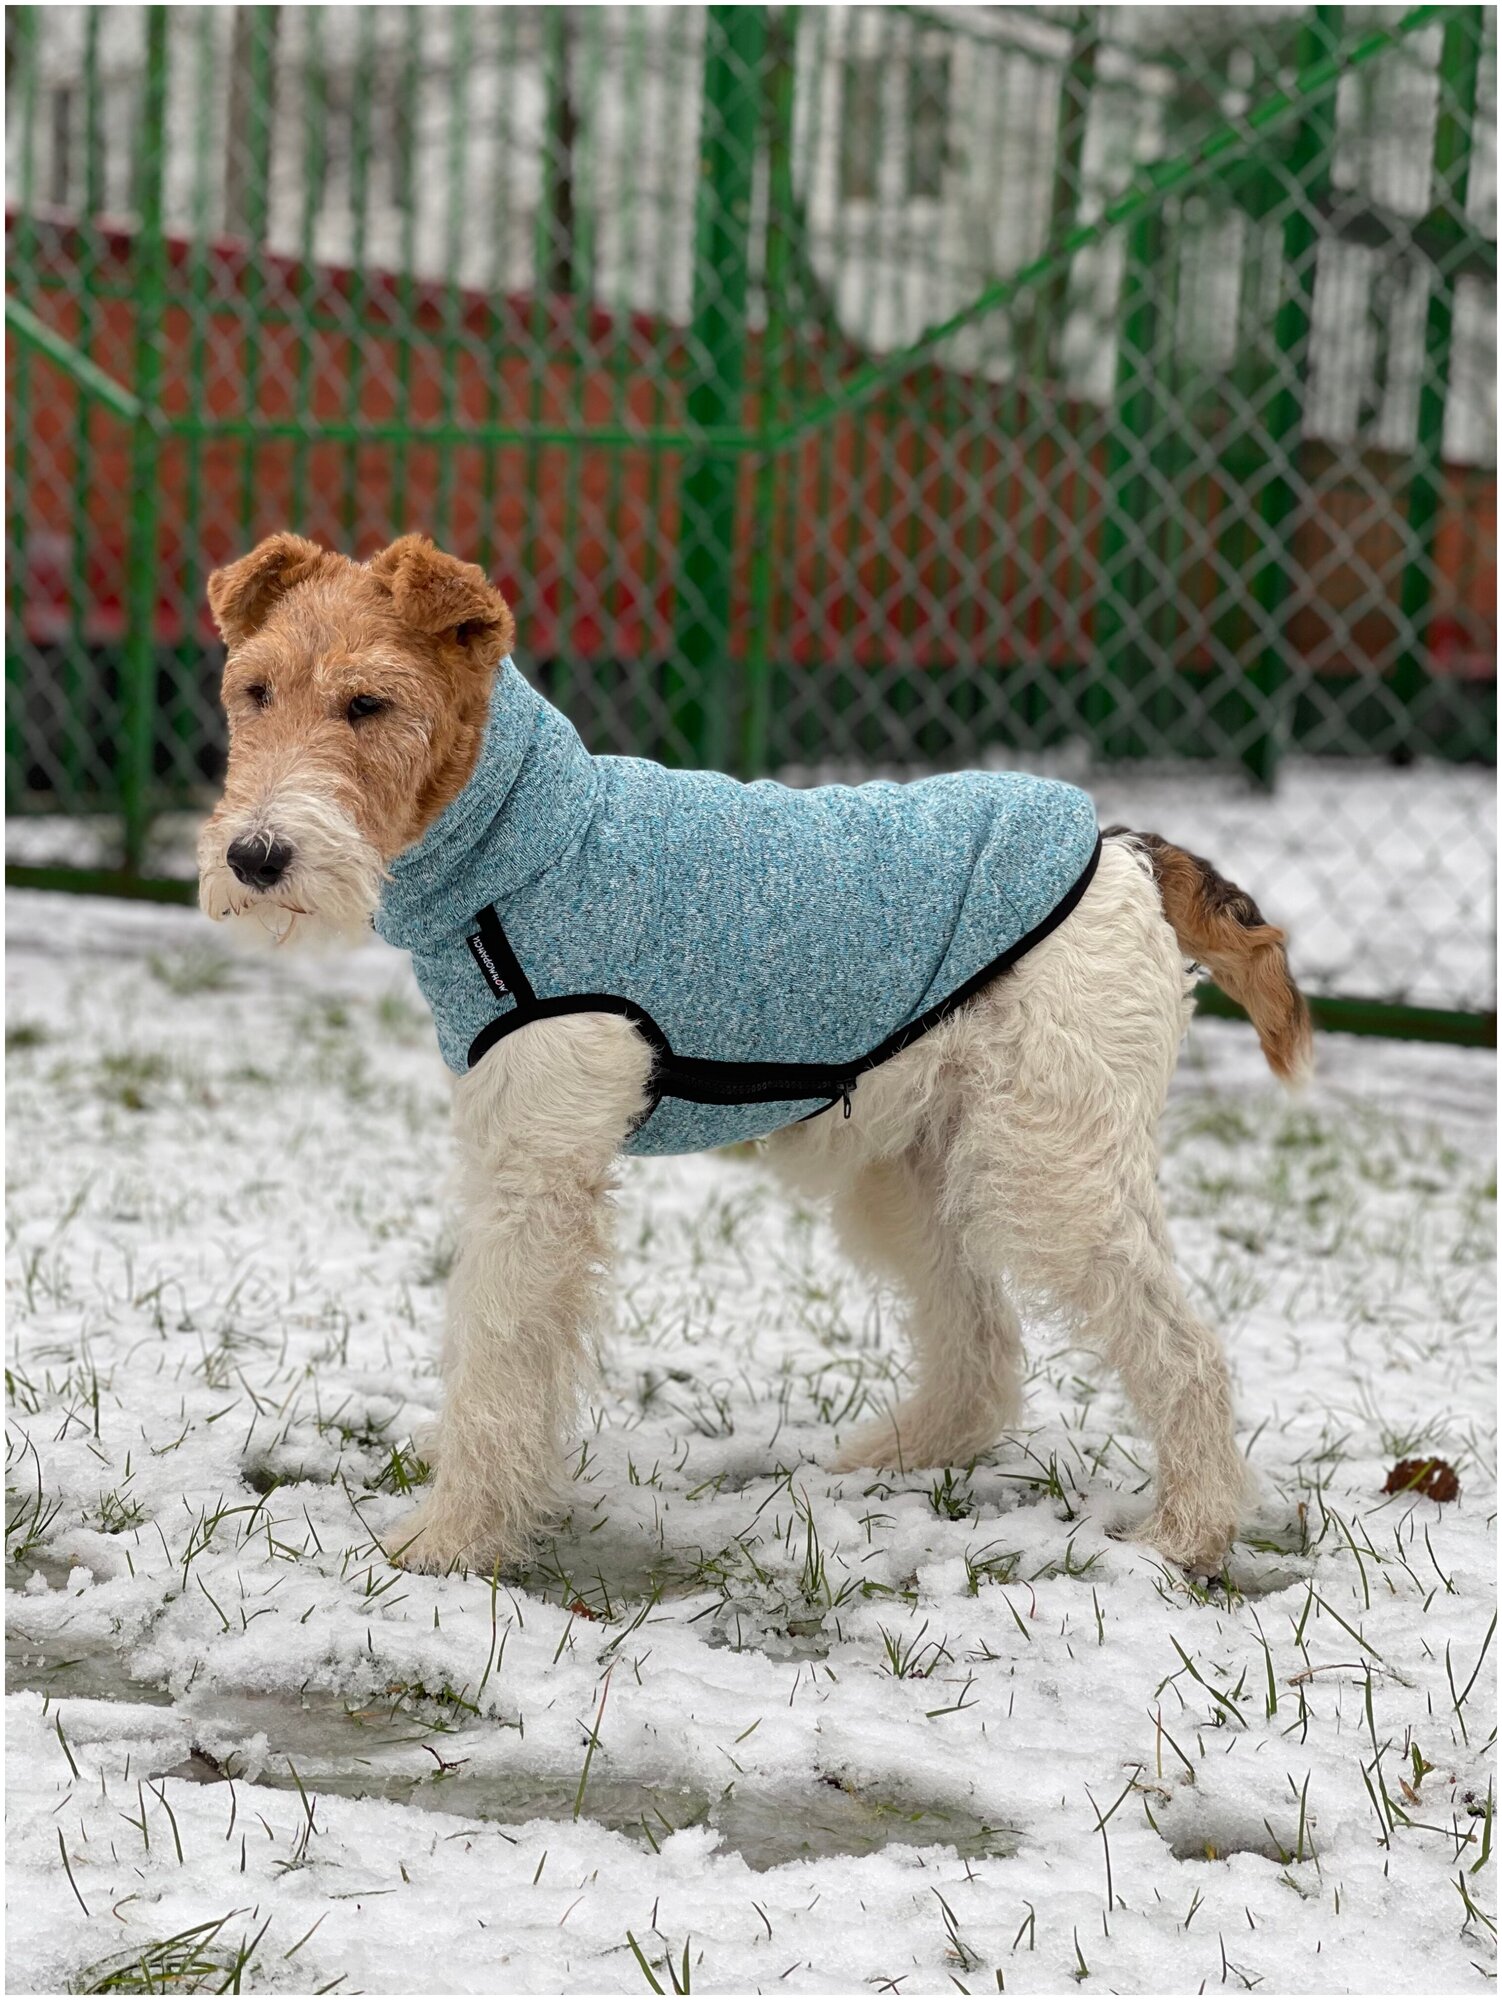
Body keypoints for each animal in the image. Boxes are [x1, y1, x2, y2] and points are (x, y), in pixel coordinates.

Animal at [203, 532, 1312, 1576]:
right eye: (253, 690)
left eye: (367, 702)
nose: (255, 858)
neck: (522, 845)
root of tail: (1123, 850)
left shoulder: (534, 1167)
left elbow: (496, 1353)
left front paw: (452, 1540)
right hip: (914, 1169)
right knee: (983, 1345)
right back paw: (890, 1458)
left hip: (1052, 1171)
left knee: (1184, 1351)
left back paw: (1188, 1533)